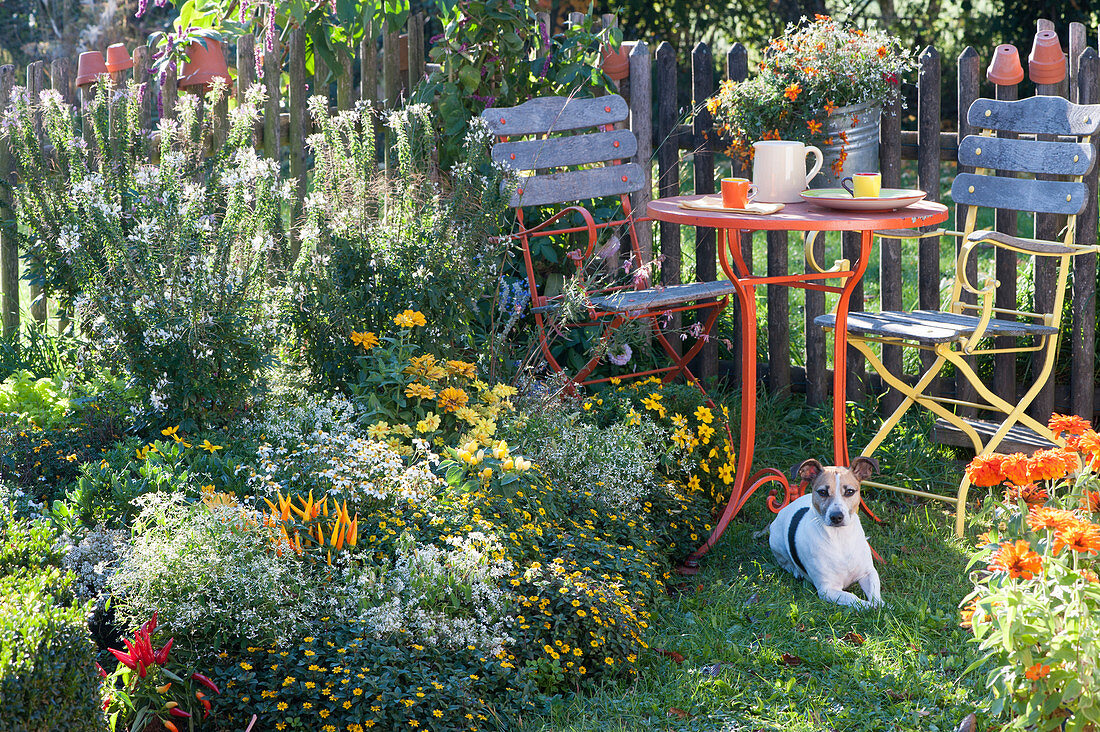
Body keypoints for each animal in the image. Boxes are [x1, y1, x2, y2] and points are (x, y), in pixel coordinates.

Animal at [765, 460, 884, 607]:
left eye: (850, 491)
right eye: (822, 492)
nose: (836, 516)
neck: (840, 538)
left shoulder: (868, 573)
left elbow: (875, 594)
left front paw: (882, 605)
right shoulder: (828, 590)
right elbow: (854, 599)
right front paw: (869, 606)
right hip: (776, 543)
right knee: (784, 561)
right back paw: (795, 570)